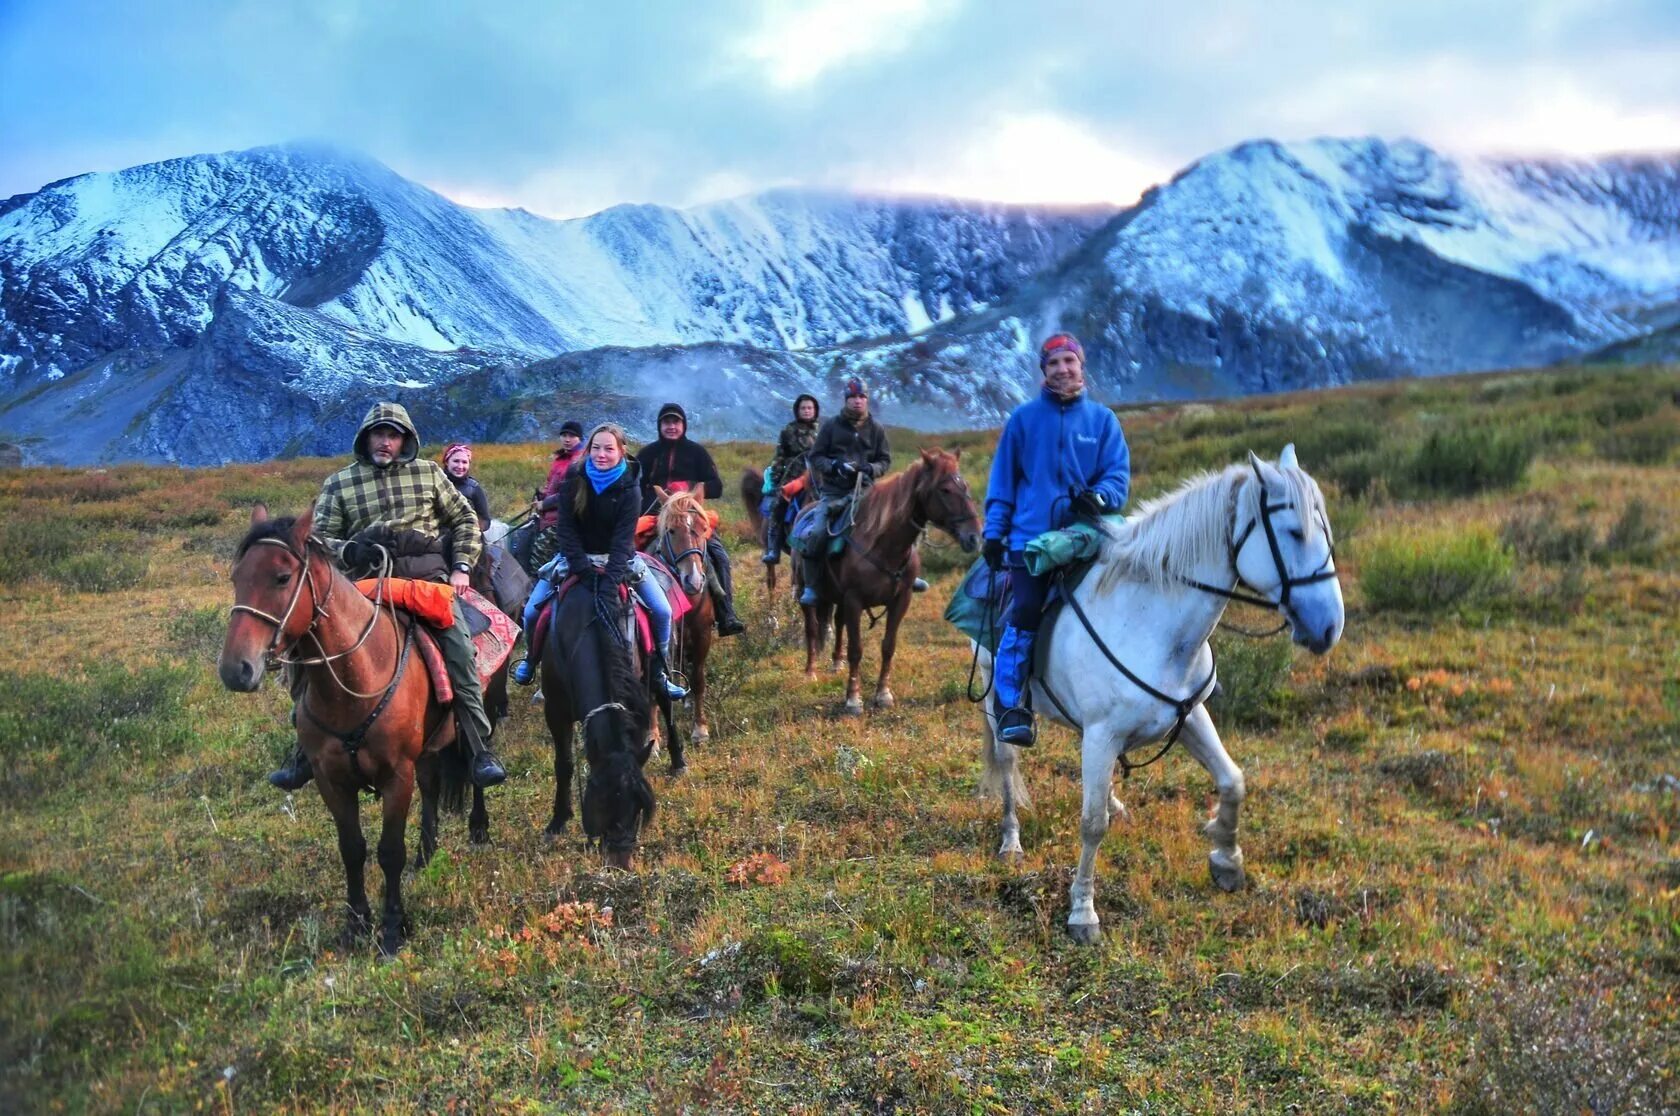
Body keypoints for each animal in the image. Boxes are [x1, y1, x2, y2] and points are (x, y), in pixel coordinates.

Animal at [218, 510, 490, 954]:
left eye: (282, 577)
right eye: (236, 576)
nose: (235, 669)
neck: (358, 678)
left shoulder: (396, 775)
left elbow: (389, 851)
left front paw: (393, 928)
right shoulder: (331, 779)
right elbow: (353, 849)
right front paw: (357, 923)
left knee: (477, 759)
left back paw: (480, 823)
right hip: (427, 750)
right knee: (432, 787)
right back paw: (427, 853)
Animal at [544, 574, 661, 873]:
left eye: (638, 809)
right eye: (600, 802)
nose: (620, 865)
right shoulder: (555, 709)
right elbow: (564, 764)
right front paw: (558, 820)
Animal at [648, 490, 715, 746]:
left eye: (703, 527)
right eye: (671, 530)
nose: (693, 580)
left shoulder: (702, 634)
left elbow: (698, 679)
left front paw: (700, 730)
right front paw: (653, 737)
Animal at [799, 453, 981, 715]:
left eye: (964, 486)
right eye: (945, 489)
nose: (974, 536)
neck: (884, 546)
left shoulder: (901, 599)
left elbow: (888, 646)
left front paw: (883, 695)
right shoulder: (854, 600)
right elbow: (856, 650)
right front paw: (853, 700)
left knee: (838, 623)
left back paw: (836, 663)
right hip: (804, 592)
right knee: (811, 628)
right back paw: (810, 671)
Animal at [981, 443, 1344, 941]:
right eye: (1295, 532)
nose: (1330, 627)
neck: (1152, 623)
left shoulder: (1188, 716)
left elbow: (1233, 781)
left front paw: (1227, 861)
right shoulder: (1102, 734)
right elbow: (1091, 825)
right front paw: (1082, 912)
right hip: (995, 702)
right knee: (1006, 763)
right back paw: (1011, 839)